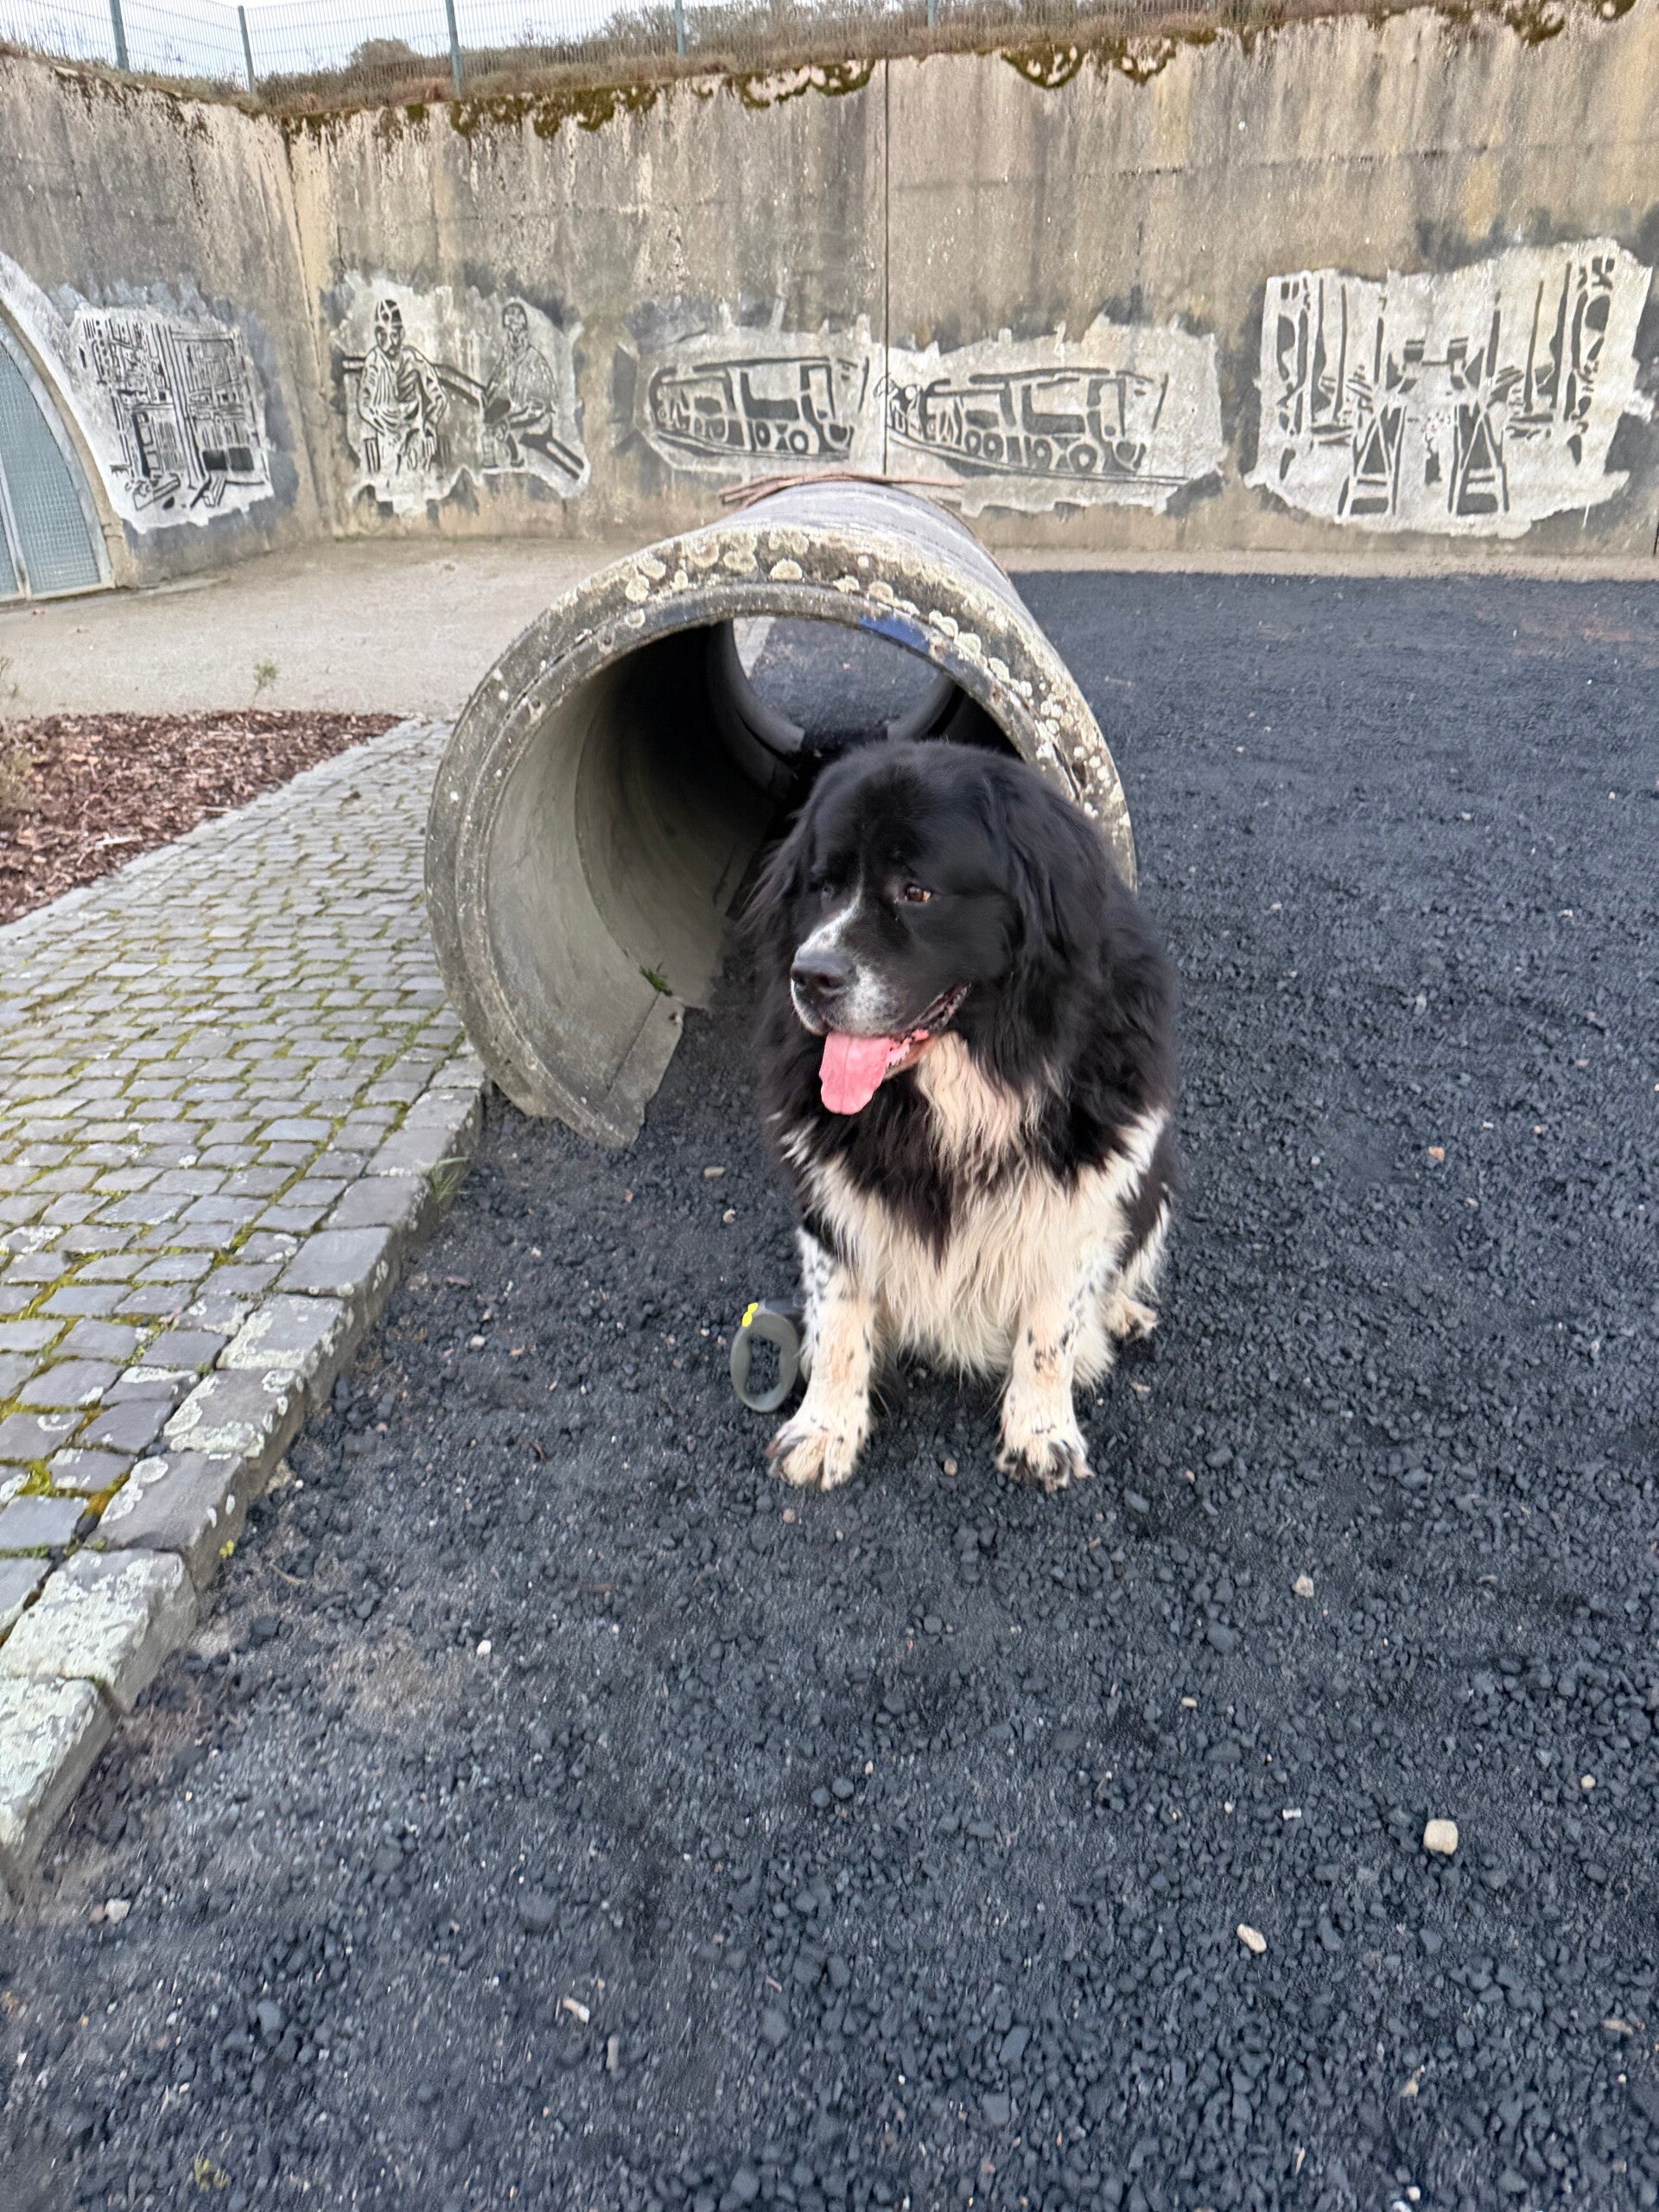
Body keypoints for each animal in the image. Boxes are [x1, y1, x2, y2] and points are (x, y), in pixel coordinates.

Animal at [750, 737, 1178, 1492]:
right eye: (823, 886)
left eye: (916, 893)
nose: (811, 975)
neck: (977, 1071)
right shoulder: (830, 1193)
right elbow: (837, 1318)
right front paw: (823, 1429)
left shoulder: (1086, 1187)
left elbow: (1053, 1325)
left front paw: (1041, 1432)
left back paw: (1121, 1312)